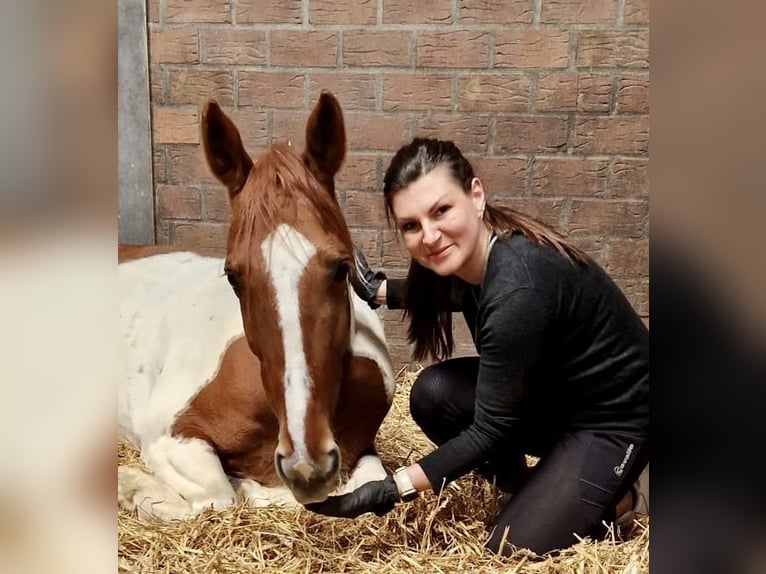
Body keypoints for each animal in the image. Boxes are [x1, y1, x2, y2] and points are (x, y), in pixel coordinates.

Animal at [119, 92, 400, 520]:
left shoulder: (361, 451)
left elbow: (366, 484)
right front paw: (131, 485)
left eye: (341, 269)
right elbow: (219, 496)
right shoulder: (167, 435)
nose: (306, 465)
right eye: (234, 276)